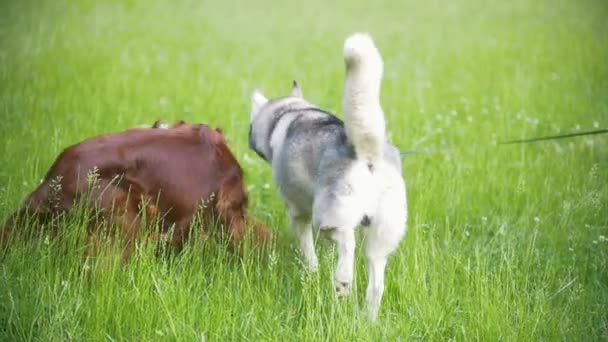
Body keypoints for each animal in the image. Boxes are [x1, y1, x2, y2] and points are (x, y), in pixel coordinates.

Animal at [247, 32, 408, 320]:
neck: (288, 112)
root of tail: (367, 152)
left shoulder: (298, 214)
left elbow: (308, 252)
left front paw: (311, 272)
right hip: (380, 238)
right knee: (376, 282)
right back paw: (368, 319)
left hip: (326, 219)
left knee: (347, 243)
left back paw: (343, 281)